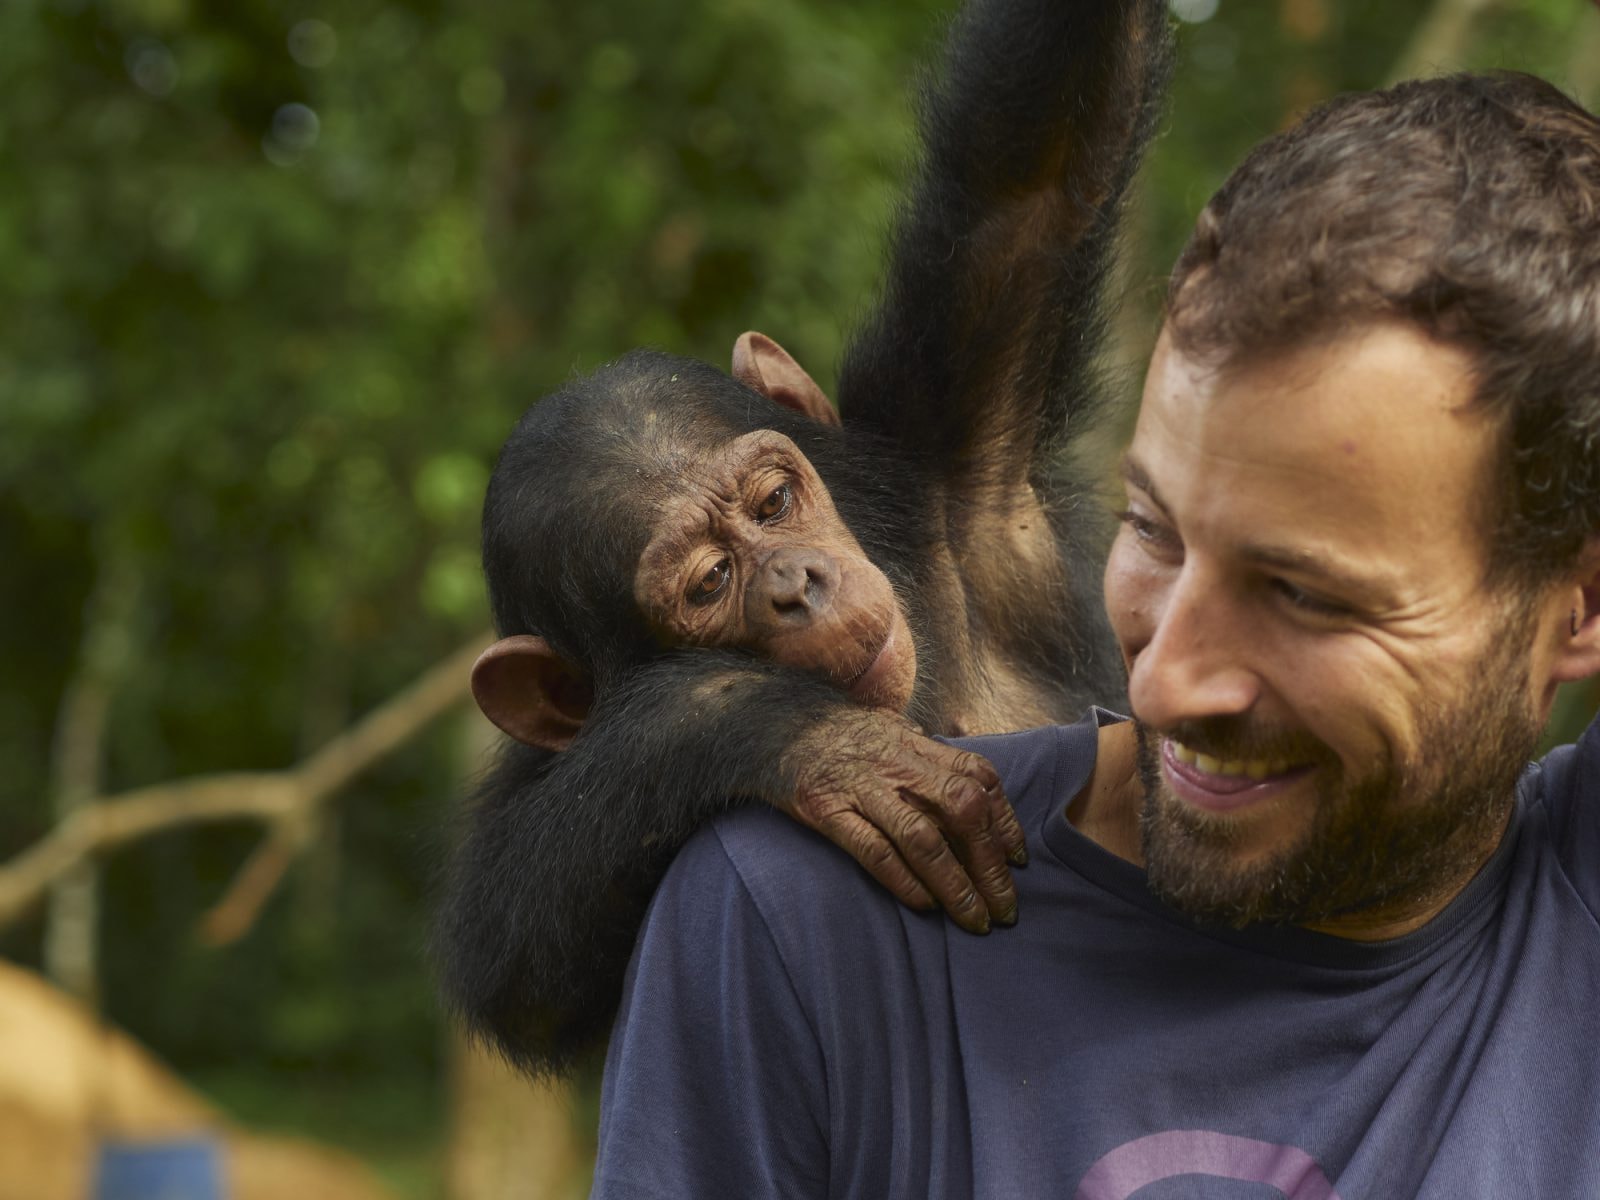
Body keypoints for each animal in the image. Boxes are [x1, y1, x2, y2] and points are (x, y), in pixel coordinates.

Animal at [438, 0, 1177, 1081]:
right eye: (710, 582)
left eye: (774, 502)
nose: (795, 583)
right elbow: (506, 942)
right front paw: (800, 737)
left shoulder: (944, 440)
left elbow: (1033, 176)